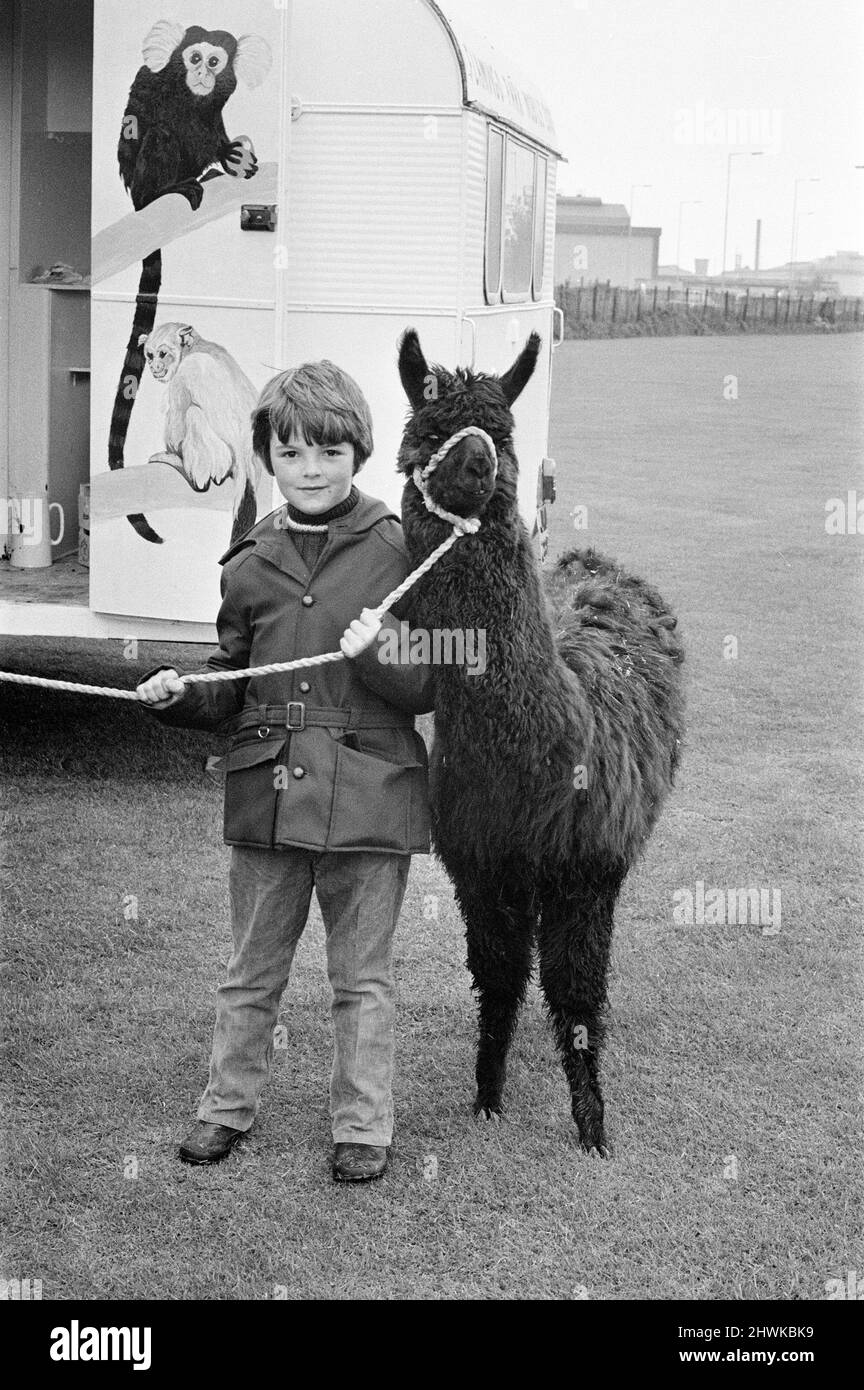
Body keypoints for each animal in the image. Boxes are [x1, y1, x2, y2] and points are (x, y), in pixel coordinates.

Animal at [138, 322, 265, 539]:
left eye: (163, 354)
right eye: (150, 355)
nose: (155, 367)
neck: (195, 347)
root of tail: (245, 460)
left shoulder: (186, 371)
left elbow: (177, 422)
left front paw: (171, 453)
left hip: (221, 457)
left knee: (193, 414)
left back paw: (194, 476)